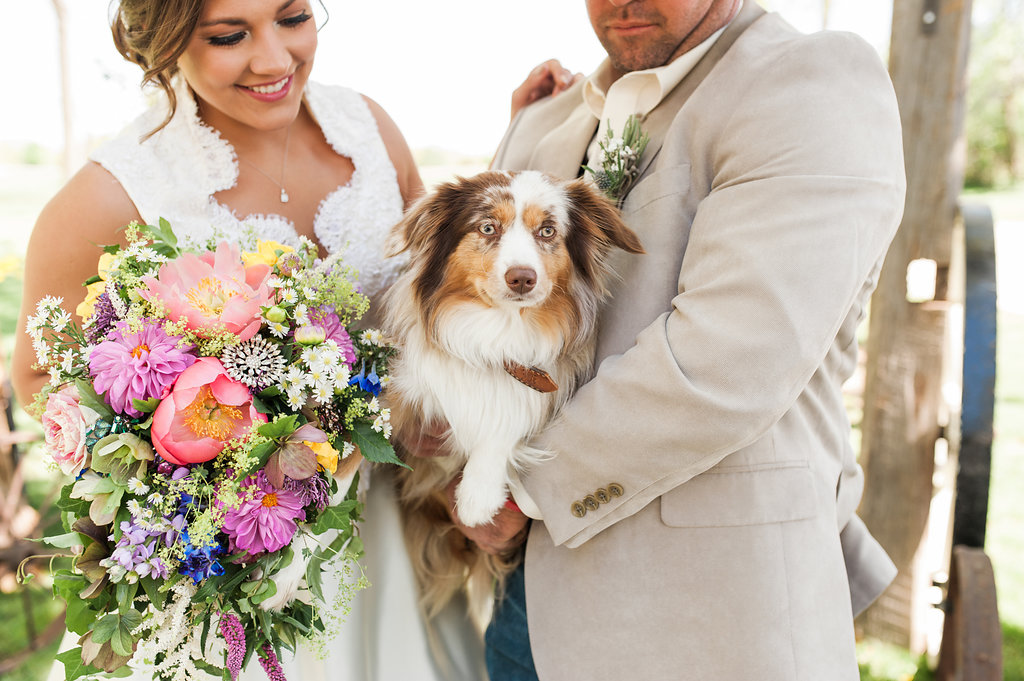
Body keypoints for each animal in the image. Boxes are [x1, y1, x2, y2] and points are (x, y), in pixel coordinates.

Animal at [385, 168, 638, 614]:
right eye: (488, 228)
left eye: (548, 230)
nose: (522, 277)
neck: (500, 330)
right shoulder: (403, 395)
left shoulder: (545, 384)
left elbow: (510, 415)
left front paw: (477, 495)